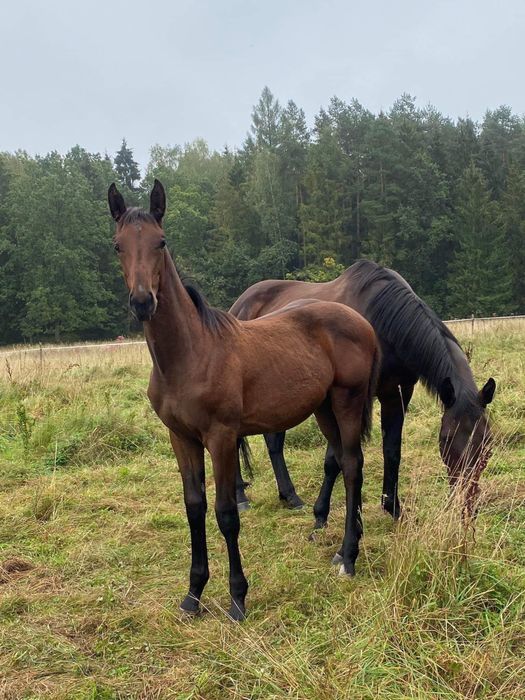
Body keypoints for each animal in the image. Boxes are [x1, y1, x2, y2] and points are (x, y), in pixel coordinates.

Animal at [109, 179, 380, 616]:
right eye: (118, 245)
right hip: (323, 409)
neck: (191, 354)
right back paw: (343, 548)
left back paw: (350, 558)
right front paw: (193, 594)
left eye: (160, 241)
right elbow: (194, 506)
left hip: (348, 402)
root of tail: (361, 322)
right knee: (341, 460)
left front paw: (237, 596)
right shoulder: (181, 438)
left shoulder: (221, 436)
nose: (143, 301)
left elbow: (226, 513)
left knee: (354, 465)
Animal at [230, 264, 496, 524]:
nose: (467, 505)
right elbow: (334, 460)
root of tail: (240, 303)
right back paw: (241, 497)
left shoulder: (397, 394)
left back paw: (289, 496)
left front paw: (393, 509)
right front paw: (321, 514)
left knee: (273, 441)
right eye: (445, 439)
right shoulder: (347, 399)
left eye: (488, 442)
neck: (383, 324)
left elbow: (392, 451)